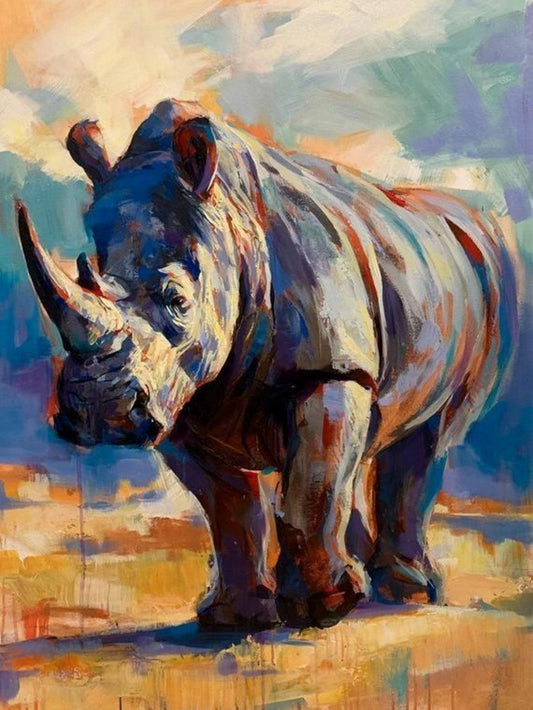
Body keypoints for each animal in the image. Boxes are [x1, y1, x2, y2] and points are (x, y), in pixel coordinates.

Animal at [16, 99, 519, 629]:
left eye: (177, 300)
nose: (98, 415)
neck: (230, 227)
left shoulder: (329, 369)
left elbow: (311, 487)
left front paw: (321, 610)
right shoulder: (180, 396)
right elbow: (229, 509)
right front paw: (232, 619)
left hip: (490, 285)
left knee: (431, 437)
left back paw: (406, 593)